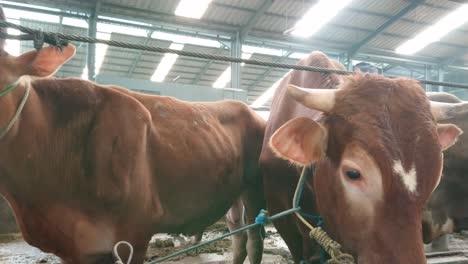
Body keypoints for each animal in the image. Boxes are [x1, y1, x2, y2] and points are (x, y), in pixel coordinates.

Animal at [0, 6, 266, 264]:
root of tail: (247, 109)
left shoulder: (135, 232)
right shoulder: (78, 250)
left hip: (254, 188)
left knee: (253, 239)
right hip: (233, 196)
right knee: (238, 235)